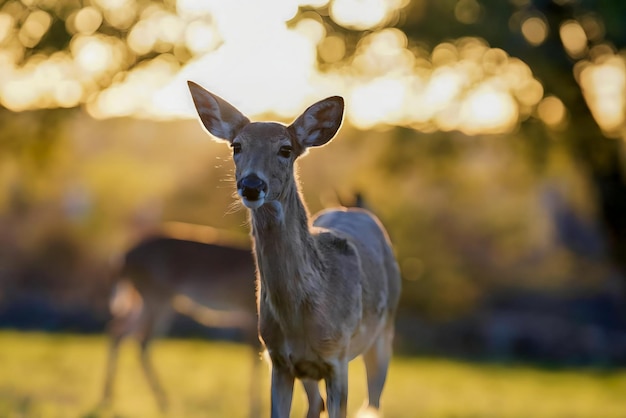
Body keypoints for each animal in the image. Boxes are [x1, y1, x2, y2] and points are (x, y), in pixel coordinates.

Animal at [100, 235, 260, 414]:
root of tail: (122, 258)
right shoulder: (251, 311)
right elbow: (256, 357)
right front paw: (254, 409)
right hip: (156, 295)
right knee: (141, 340)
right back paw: (163, 402)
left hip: (145, 298)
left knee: (119, 329)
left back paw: (108, 398)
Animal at [188, 81, 400, 418]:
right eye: (236, 146)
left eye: (285, 149)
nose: (251, 185)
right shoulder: (277, 359)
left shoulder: (338, 358)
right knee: (317, 403)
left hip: (383, 336)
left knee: (373, 403)